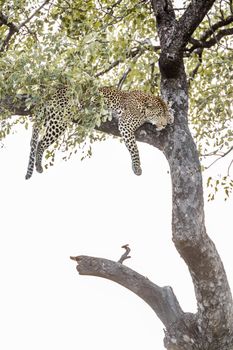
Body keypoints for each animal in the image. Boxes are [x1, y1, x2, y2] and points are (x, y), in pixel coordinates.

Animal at [25, 85, 173, 180]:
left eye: (164, 114)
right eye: (158, 114)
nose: (164, 124)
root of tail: (54, 89)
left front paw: (171, 117)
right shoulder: (125, 125)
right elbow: (134, 148)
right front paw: (137, 168)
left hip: (50, 117)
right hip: (60, 119)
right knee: (40, 142)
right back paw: (38, 165)